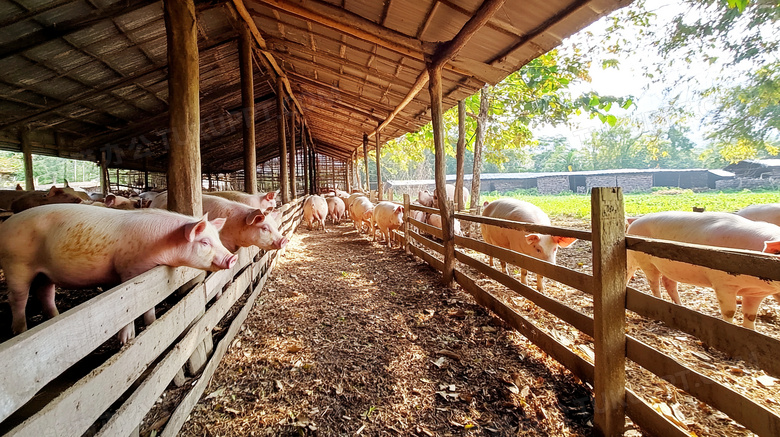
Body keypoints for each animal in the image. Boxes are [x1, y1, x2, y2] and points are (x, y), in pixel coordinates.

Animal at [0, 203, 236, 342]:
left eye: (217, 238)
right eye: (204, 242)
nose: (232, 258)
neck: (162, 245)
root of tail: (5, 225)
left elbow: (148, 306)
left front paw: (152, 323)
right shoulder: (129, 272)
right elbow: (129, 310)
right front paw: (127, 340)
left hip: (45, 273)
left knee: (45, 293)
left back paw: (54, 317)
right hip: (16, 264)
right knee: (18, 298)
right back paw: (20, 331)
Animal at [624, 209, 780, 328]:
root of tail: (634, 224)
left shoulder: (756, 293)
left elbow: (751, 316)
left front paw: (750, 332)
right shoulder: (723, 284)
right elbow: (729, 311)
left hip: (668, 267)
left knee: (669, 283)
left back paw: (681, 306)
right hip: (646, 261)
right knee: (654, 283)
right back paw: (659, 302)